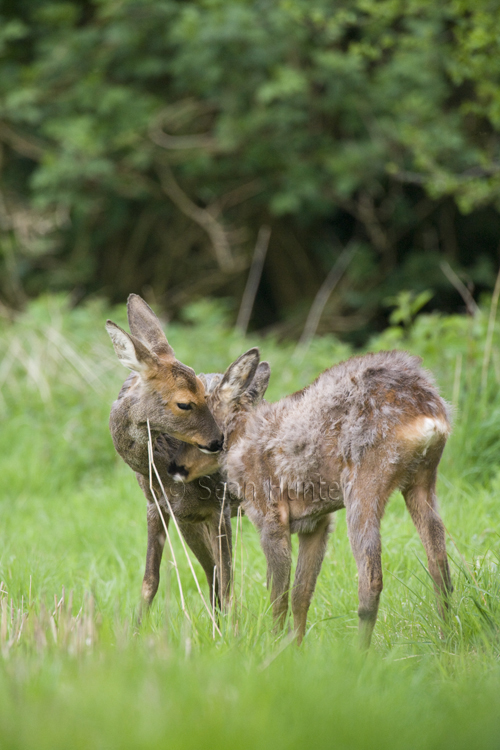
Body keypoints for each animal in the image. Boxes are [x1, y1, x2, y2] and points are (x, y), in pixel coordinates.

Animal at [106, 296, 239, 616]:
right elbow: (149, 582)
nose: (218, 441)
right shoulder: (160, 508)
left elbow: (228, 583)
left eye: (206, 393)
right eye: (184, 403)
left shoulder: (220, 505)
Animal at [169, 350, 454, 648]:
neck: (241, 440)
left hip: (364, 483)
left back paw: (361, 652)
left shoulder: (269, 514)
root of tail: (426, 411)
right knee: (440, 566)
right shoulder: (317, 521)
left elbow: (278, 596)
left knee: (372, 579)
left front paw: (274, 646)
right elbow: (301, 594)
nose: (173, 466)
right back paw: (446, 638)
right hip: (422, 480)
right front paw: (296, 647)